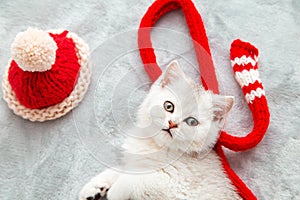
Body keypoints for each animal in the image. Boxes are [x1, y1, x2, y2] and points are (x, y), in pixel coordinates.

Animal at [79, 60, 239, 199]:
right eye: (168, 106)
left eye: (192, 121)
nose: (172, 124)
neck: (157, 147)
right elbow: (125, 169)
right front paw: (96, 186)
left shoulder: (177, 186)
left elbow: (138, 179)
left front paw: (116, 191)